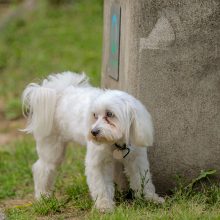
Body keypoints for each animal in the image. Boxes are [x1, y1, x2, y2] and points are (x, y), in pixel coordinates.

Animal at [22, 71, 163, 211]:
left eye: (110, 114)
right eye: (95, 115)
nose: (93, 132)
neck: (115, 142)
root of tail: (60, 92)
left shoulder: (136, 158)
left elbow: (142, 179)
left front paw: (150, 198)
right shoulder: (98, 162)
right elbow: (101, 185)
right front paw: (104, 205)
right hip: (52, 147)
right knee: (42, 168)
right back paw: (43, 196)